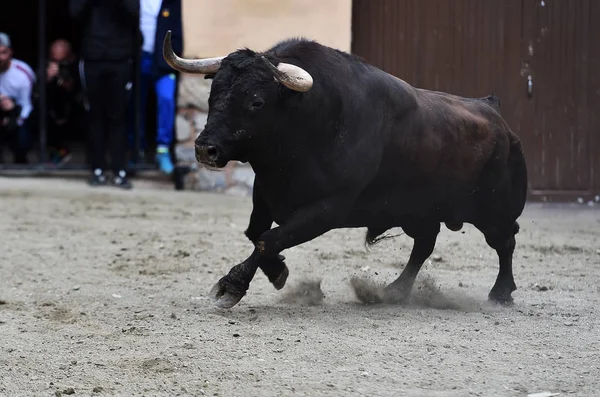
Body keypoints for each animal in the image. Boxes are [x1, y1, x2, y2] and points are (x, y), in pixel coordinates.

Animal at [162, 31, 528, 310]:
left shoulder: (328, 209)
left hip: (494, 210)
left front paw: (231, 286)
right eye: (213, 95)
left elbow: (268, 240)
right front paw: (278, 273)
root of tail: (494, 112)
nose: (205, 149)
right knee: (425, 244)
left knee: (505, 241)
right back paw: (394, 290)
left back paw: (501, 293)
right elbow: (257, 234)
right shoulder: (265, 192)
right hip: (419, 212)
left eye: (257, 102)